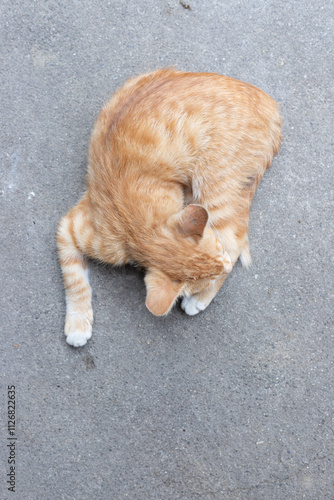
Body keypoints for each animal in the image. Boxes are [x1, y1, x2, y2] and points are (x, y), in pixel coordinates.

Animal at [57, 68, 282, 346]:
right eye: (216, 257)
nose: (226, 266)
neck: (135, 223)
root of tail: (270, 104)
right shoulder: (69, 229)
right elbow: (74, 279)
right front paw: (78, 322)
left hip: (216, 189)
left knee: (236, 240)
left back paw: (199, 301)